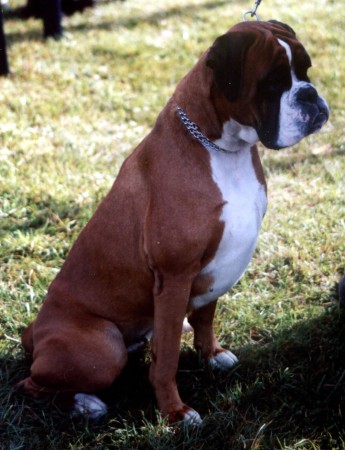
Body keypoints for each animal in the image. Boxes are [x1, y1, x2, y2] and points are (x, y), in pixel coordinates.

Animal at [18, 20, 328, 426]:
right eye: (273, 83)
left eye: (306, 71)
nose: (310, 94)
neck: (221, 148)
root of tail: (34, 332)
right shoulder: (175, 276)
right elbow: (165, 361)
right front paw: (175, 413)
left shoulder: (216, 267)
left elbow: (206, 317)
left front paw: (211, 355)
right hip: (104, 348)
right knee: (30, 384)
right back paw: (84, 404)